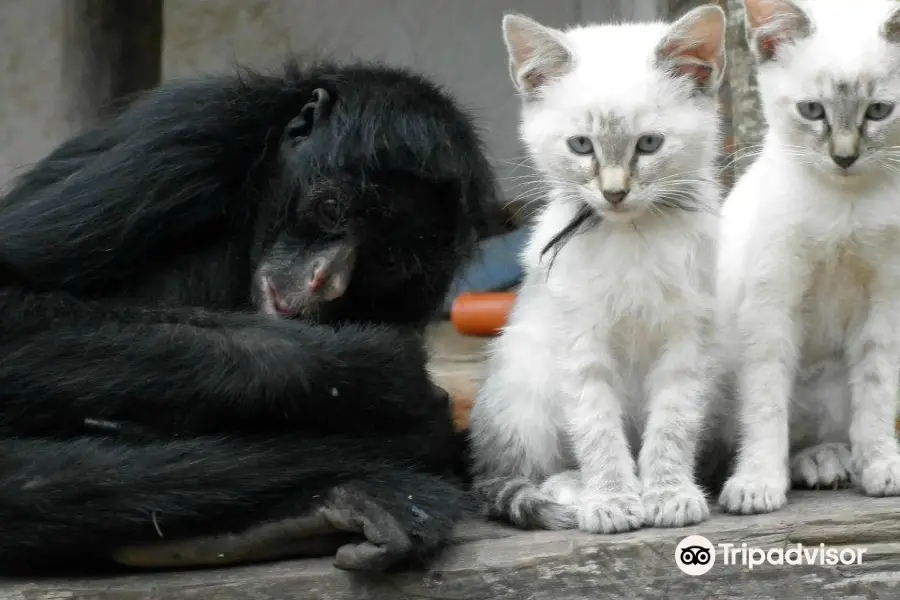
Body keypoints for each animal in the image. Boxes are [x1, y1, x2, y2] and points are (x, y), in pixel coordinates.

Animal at [468, 2, 728, 532]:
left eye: (648, 144)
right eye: (581, 145)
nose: (613, 192)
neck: (632, 238)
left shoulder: (689, 339)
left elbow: (672, 424)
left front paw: (668, 492)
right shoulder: (578, 343)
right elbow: (598, 430)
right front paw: (611, 499)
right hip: (521, 377)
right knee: (521, 471)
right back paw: (572, 488)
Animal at [720, 0, 900, 516]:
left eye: (879, 110)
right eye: (812, 110)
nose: (844, 157)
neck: (844, 204)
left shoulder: (887, 301)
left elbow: (877, 390)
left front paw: (882, 465)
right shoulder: (769, 303)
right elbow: (764, 402)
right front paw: (757, 483)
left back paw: (830, 459)